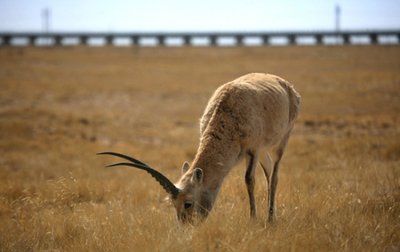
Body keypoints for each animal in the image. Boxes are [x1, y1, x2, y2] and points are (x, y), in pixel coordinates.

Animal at [99, 72, 300, 222]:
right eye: (173, 203)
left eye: (188, 203)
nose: (187, 226)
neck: (228, 112)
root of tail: (286, 85)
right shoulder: (253, 151)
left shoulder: (253, 149)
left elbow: (249, 179)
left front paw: (253, 219)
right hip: (265, 151)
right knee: (268, 169)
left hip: (282, 140)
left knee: (275, 173)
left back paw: (270, 218)